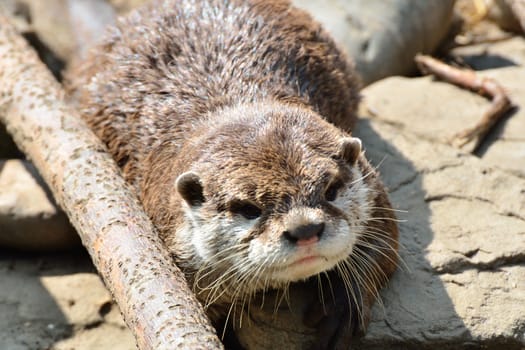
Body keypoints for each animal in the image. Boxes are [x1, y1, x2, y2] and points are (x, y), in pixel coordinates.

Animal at [65, 0, 398, 346]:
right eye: (248, 209)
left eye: (330, 190)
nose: (305, 229)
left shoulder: (371, 184)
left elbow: (384, 240)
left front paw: (343, 305)